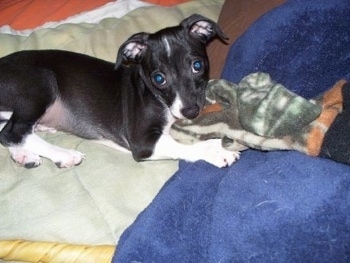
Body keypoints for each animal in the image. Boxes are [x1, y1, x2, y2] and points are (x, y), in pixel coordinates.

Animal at [0, 14, 239, 169]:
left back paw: (25, 154)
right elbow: (181, 143)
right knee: (12, 132)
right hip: (42, 83)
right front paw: (218, 150)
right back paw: (63, 154)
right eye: (159, 78)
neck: (154, 94)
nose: (190, 112)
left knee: (8, 131)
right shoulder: (143, 142)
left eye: (197, 66)